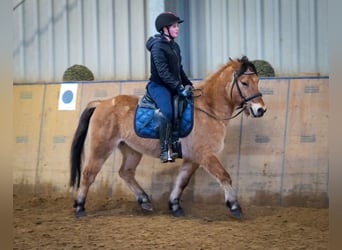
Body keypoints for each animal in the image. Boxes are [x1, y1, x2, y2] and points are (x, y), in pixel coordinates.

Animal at [70, 56, 268, 219]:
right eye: (244, 83)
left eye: (257, 81)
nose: (260, 110)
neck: (209, 109)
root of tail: (101, 103)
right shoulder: (205, 155)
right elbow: (224, 176)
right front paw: (235, 206)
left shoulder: (193, 158)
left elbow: (182, 181)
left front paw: (174, 206)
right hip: (101, 147)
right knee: (89, 174)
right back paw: (79, 208)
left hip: (131, 150)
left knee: (125, 172)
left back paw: (144, 200)